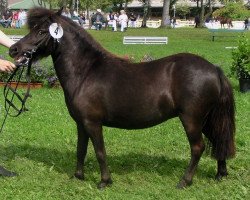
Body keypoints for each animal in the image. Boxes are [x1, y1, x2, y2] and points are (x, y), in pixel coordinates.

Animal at [10, 7, 236, 189]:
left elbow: (100, 151)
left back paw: (185, 181)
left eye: (41, 31)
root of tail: (214, 69)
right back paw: (220, 174)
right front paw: (78, 176)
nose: (14, 50)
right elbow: (81, 150)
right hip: (206, 120)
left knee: (198, 147)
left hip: (191, 119)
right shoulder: (81, 123)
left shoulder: (92, 123)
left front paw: (104, 181)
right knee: (219, 140)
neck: (86, 72)